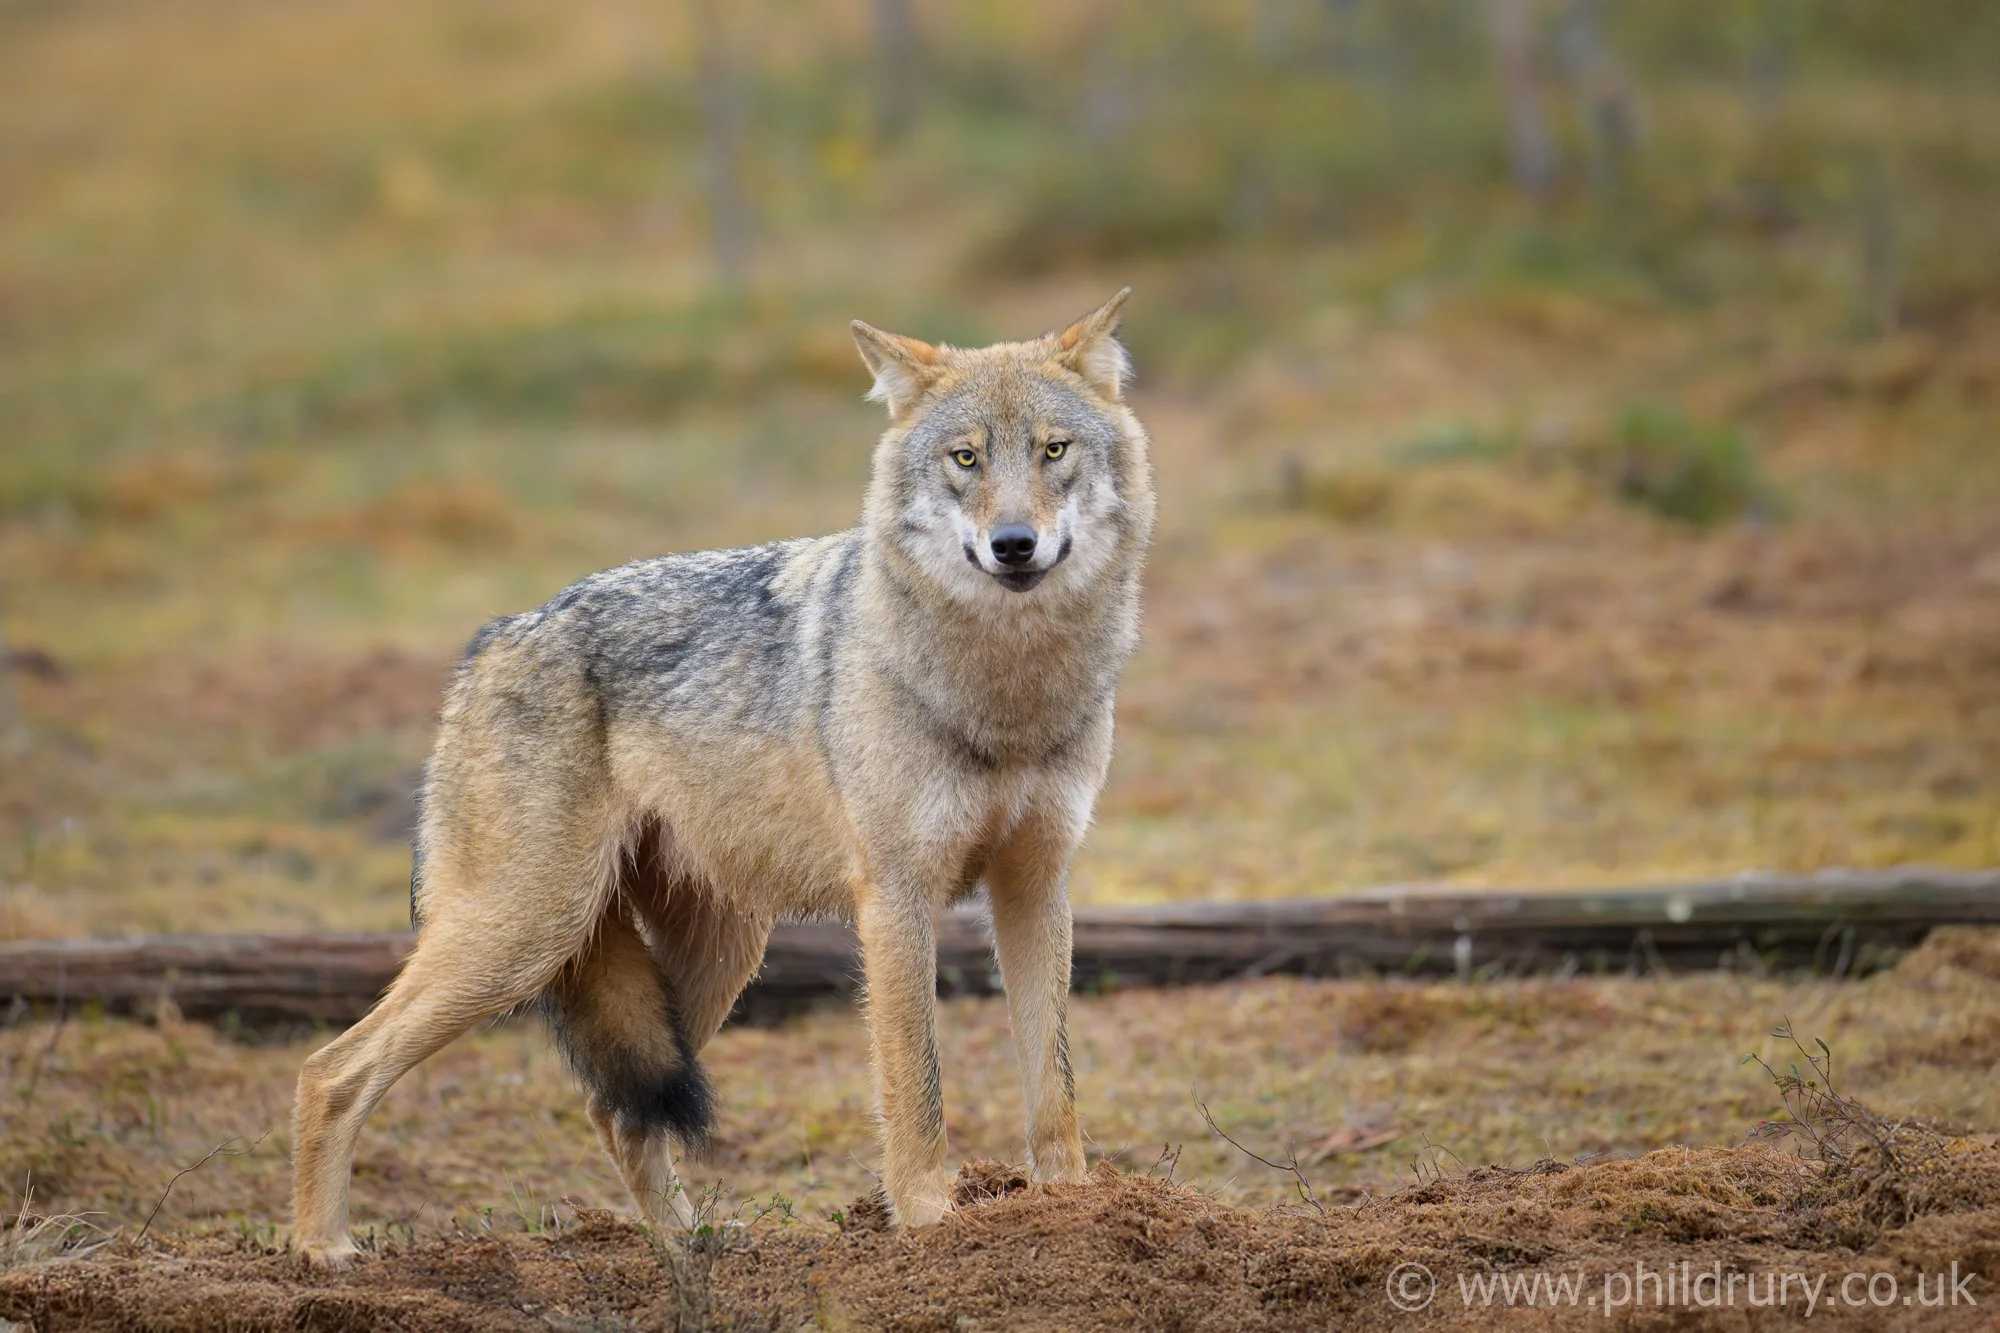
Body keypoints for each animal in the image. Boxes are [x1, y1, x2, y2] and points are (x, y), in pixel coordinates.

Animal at [288, 290, 1153, 1267]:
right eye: (965, 458)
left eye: (1054, 450)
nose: (1013, 544)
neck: (1008, 695)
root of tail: (493, 635)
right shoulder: (896, 899)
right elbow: (917, 1090)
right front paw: (933, 1223)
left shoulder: (1036, 883)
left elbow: (1053, 1084)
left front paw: (1076, 1210)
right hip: (523, 933)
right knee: (330, 1071)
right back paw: (323, 1251)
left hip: (713, 955)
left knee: (619, 1107)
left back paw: (688, 1248)